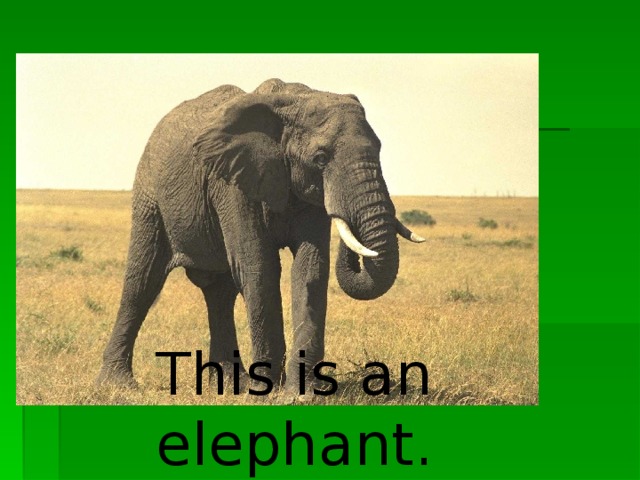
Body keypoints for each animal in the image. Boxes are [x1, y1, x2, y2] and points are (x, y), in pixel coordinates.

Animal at [97, 78, 425, 393]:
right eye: (320, 158)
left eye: (379, 149)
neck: (295, 100)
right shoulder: (234, 184)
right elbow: (259, 267)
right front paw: (267, 390)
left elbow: (310, 269)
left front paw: (303, 394)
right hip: (150, 195)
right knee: (143, 281)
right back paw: (119, 384)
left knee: (220, 293)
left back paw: (232, 384)